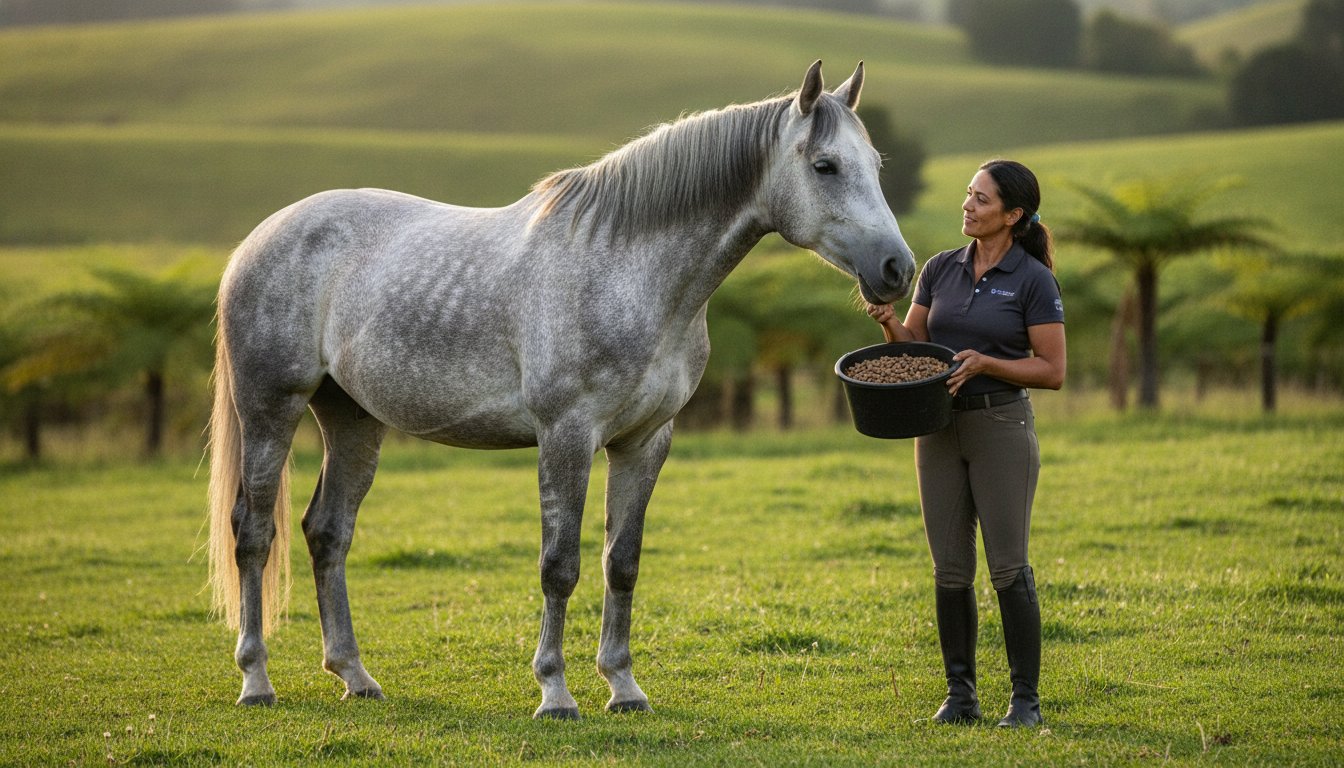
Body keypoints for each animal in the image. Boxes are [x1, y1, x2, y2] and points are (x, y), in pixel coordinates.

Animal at [206, 60, 916, 719]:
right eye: (824, 165)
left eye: (875, 164)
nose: (897, 269)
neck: (627, 272)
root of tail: (259, 239)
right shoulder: (567, 436)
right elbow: (559, 565)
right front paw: (555, 693)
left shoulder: (644, 442)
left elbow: (620, 563)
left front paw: (624, 688)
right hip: (271, 409)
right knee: (254, 531)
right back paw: (256, 681)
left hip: (352, 418)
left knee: (328, 532)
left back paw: (354, 676)